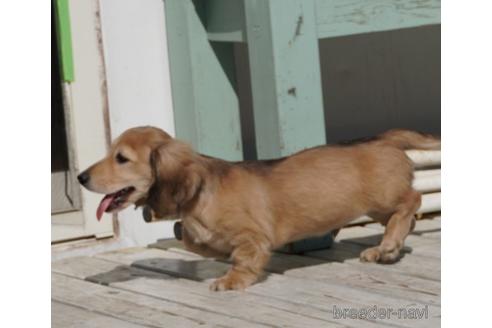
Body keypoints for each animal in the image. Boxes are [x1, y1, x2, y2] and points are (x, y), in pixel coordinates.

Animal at [79, 127, 440, 290]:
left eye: (121, 158)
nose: (81, 177)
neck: (202, 193)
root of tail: (384, 139)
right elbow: (194, 240)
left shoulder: (254, 236)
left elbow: (243, 258)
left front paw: (231, 280)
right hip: (375, 206)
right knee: (404, 215)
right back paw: (388, 248)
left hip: (381, 199)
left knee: (413, 201)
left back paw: (388, 244)